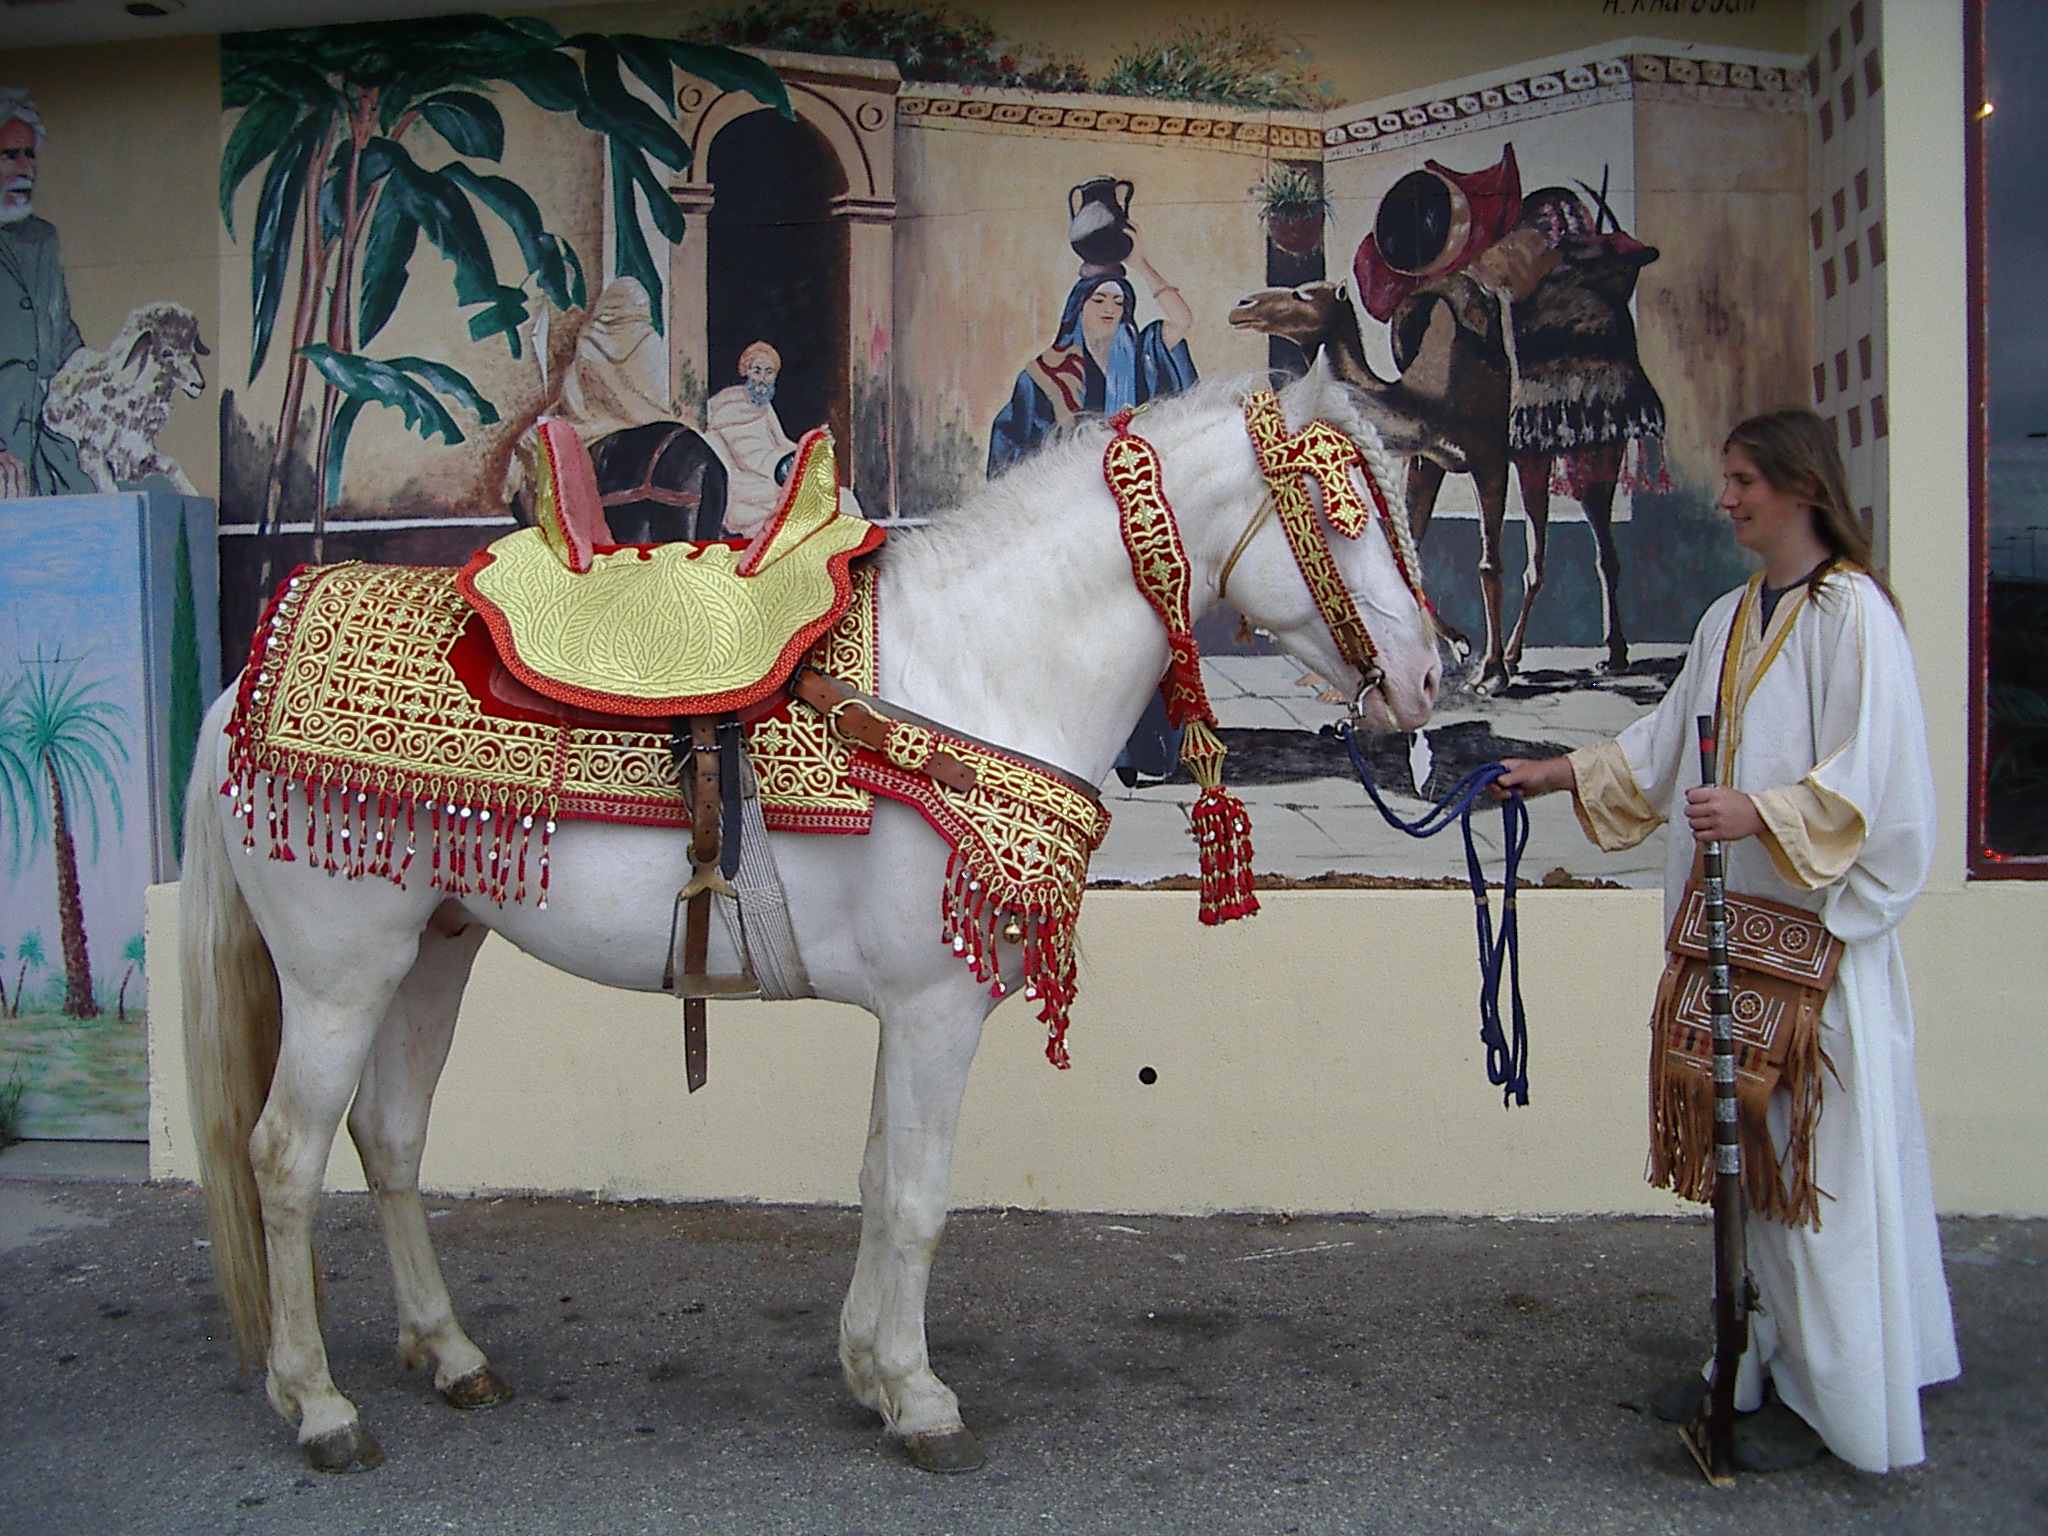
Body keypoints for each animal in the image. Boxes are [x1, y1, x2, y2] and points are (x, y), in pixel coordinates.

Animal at [180, 364, 1441, 1482]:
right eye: (1341, 507)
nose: (1432, 676)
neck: (964, 677)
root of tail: (240, 683)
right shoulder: (936, 1011)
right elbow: (920, 1201)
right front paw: (922, 1401)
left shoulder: (909, 1011)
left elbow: (880, 1181)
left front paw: (871, 1373)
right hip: (340, 973)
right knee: (282, 1157)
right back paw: (319, 1406)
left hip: (433, 948)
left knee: (390, 1138)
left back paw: (447, 1354)